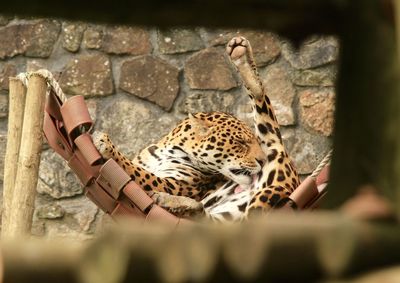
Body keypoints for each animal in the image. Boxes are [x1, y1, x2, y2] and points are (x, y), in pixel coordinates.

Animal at [92, 36, 298, 222]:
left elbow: (134, 169)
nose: (262, 161)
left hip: (271, 144)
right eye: (240, 142)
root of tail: (293, 183)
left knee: (261, 99)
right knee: (203, 215)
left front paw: (107, 145)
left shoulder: (174, 184)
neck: (167, 149)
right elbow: (138, 167)